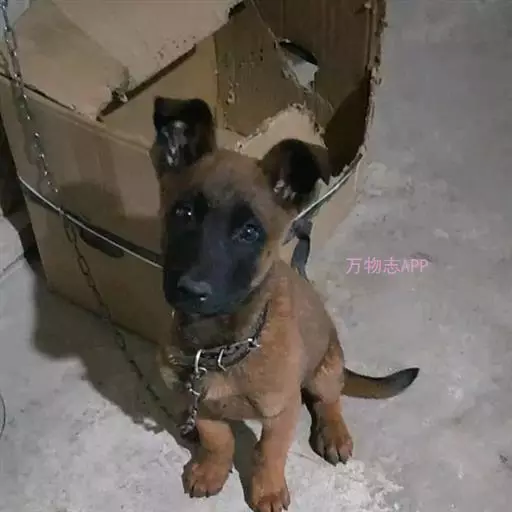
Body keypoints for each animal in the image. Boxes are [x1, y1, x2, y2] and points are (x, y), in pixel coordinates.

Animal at [152, 96, 419, 512]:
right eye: (184, 213)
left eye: (249, 232)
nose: (192, 290)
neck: (220, 348)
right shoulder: (206, 406)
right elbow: (219, 439)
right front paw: (211, 468)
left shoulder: (282, 411)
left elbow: (269, 452)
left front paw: (268, 489)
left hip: (325, 368)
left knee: (329, 399)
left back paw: (334, 433)